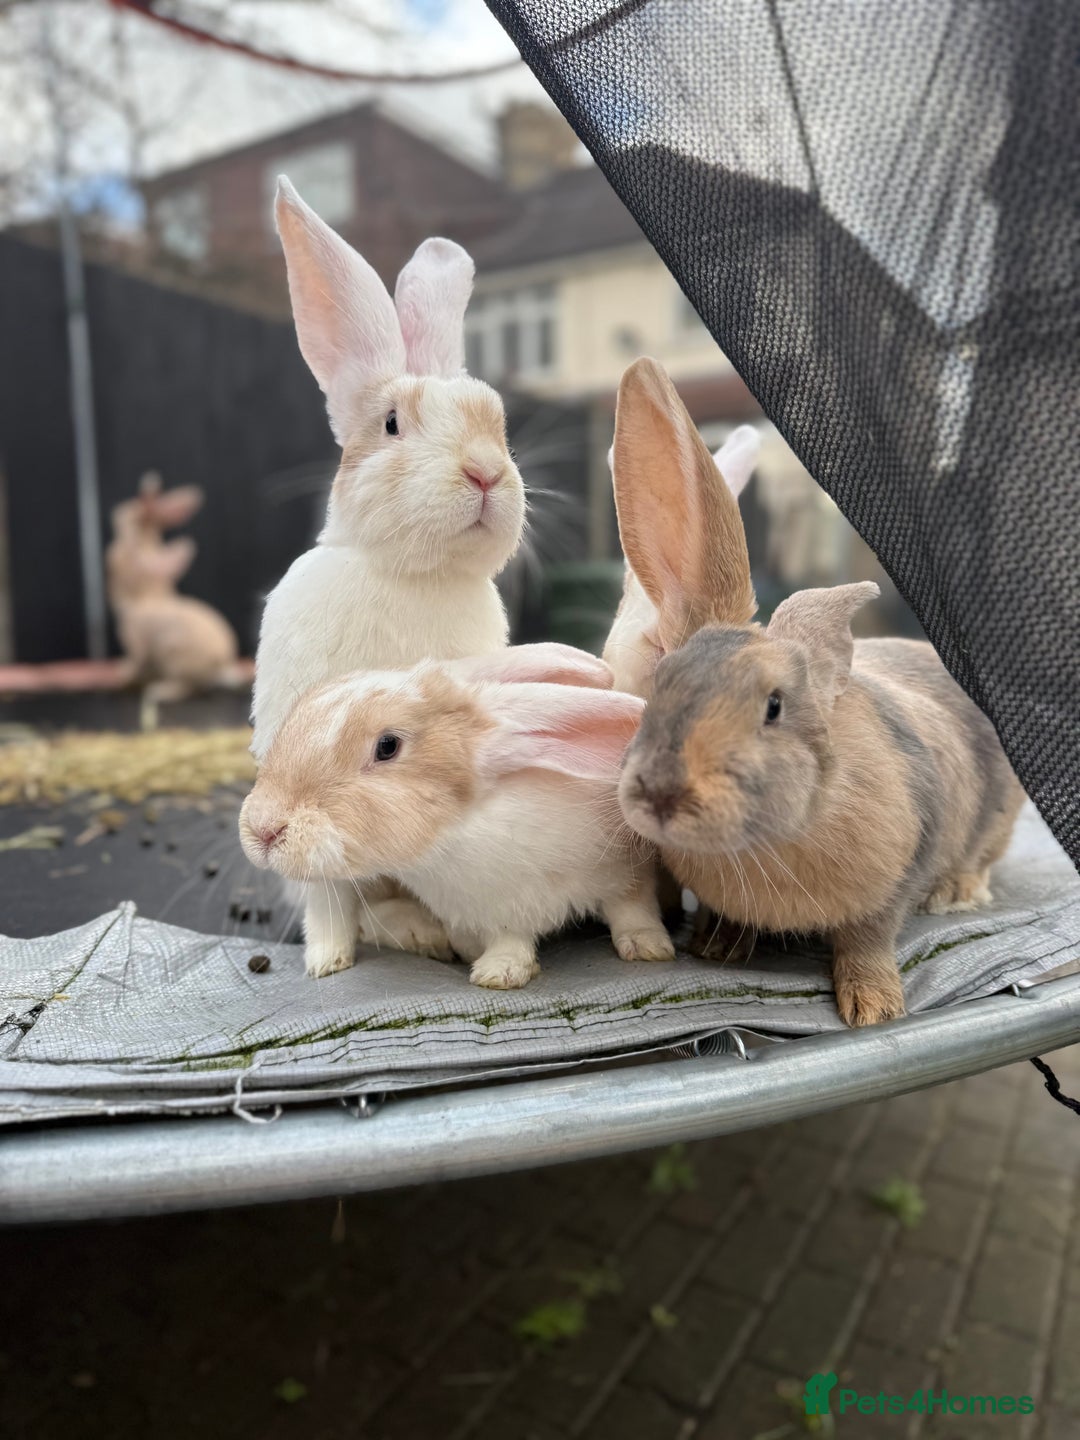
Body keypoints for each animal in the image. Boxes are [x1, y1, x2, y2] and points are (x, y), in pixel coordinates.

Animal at [106, 473, 245, 727]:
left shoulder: (136, 648)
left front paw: (119, 675)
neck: (144, 596)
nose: (118, 510)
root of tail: (222, 666)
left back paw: (159, 690)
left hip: (176, 661)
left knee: (188, 688)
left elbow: (133, 665)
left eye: (113, 562)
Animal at [239, 642, 675, 986]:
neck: (457, 830)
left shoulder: (624, 868)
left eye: (387, 746)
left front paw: (649, 946)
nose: (262, 829)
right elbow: (510, 939)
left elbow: (632, 907)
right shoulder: (500, 908)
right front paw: (500, 972)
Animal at [250, 178, 527, 974]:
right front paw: (325, 962)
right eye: (393, 424)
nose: (485, 472)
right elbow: (328, 893)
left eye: (497, 422)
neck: (415, 574)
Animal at [610, 357, 1025, 1027]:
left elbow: (868, 938)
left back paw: (955, 892)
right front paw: (718, 946)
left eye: (775, 706)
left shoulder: (894, 879)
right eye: (660, 687)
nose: (662, 793)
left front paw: (874, 1006)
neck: (767, 846)